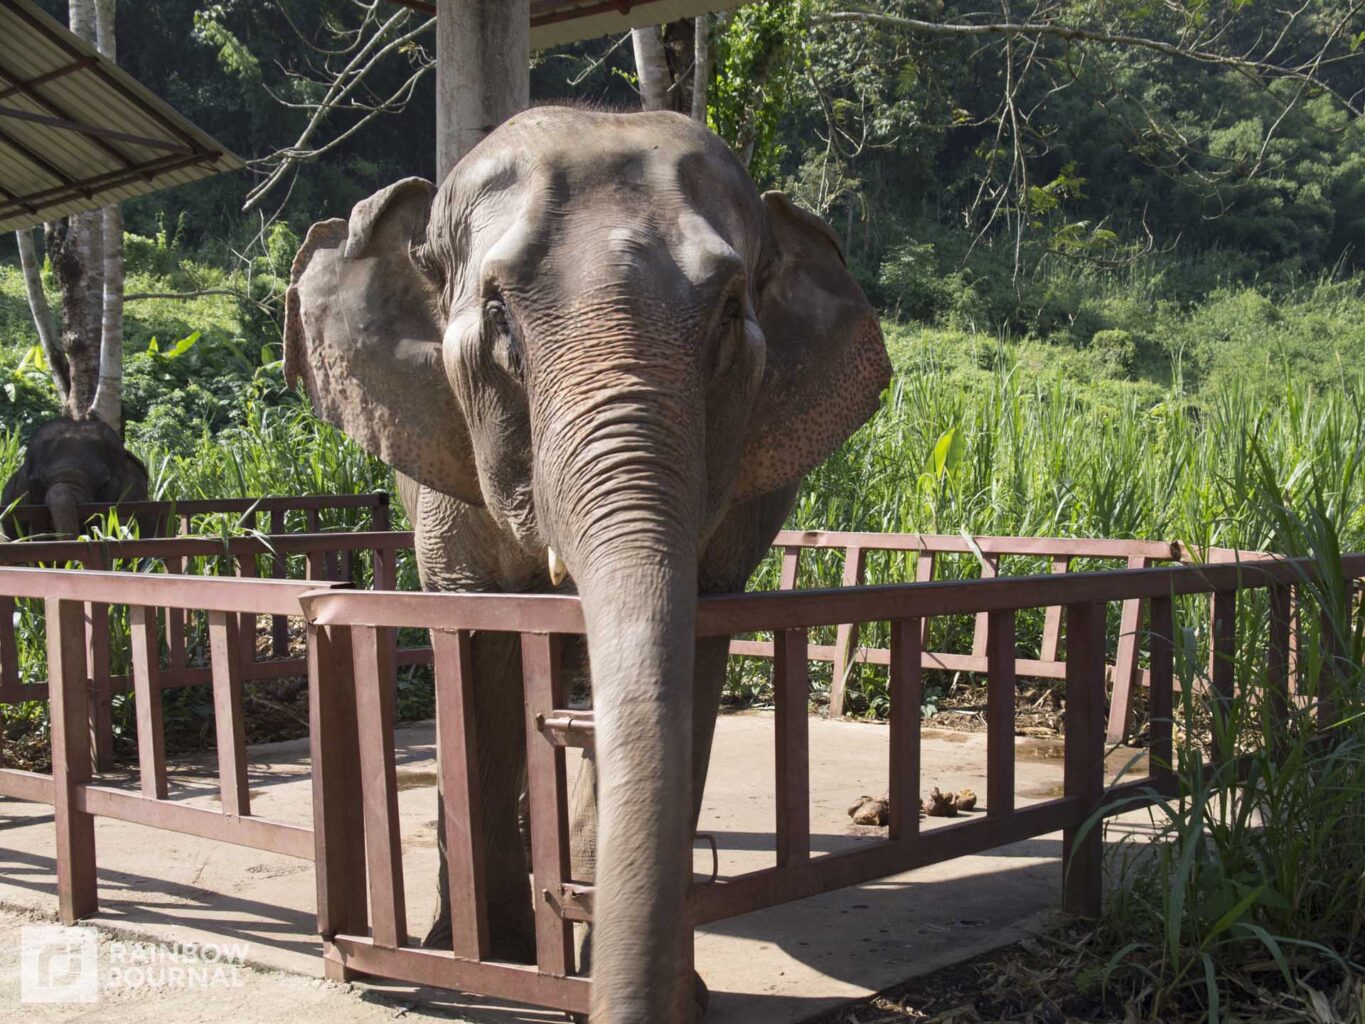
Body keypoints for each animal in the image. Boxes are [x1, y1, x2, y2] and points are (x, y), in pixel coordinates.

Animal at [285, 106, 890, 1023]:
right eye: (497, 313)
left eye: (730, 309)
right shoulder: (447, 485)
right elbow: (481, 653)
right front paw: (488, 958)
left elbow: (680, 665)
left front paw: (658, 989)